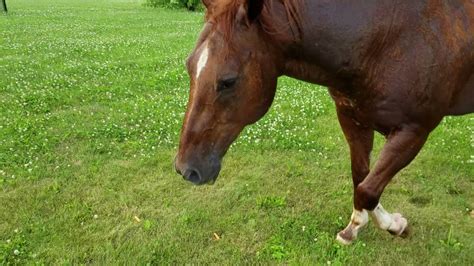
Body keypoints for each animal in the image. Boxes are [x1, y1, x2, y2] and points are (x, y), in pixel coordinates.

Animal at [175, 0, 474, 244]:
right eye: (189, 66)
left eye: (228, 81)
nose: (186, 169)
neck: (388, 38)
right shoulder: (353, 120)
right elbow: (362, 178)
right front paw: (359, 225)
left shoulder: (414, 131)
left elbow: (367, 190)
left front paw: (393, 225)